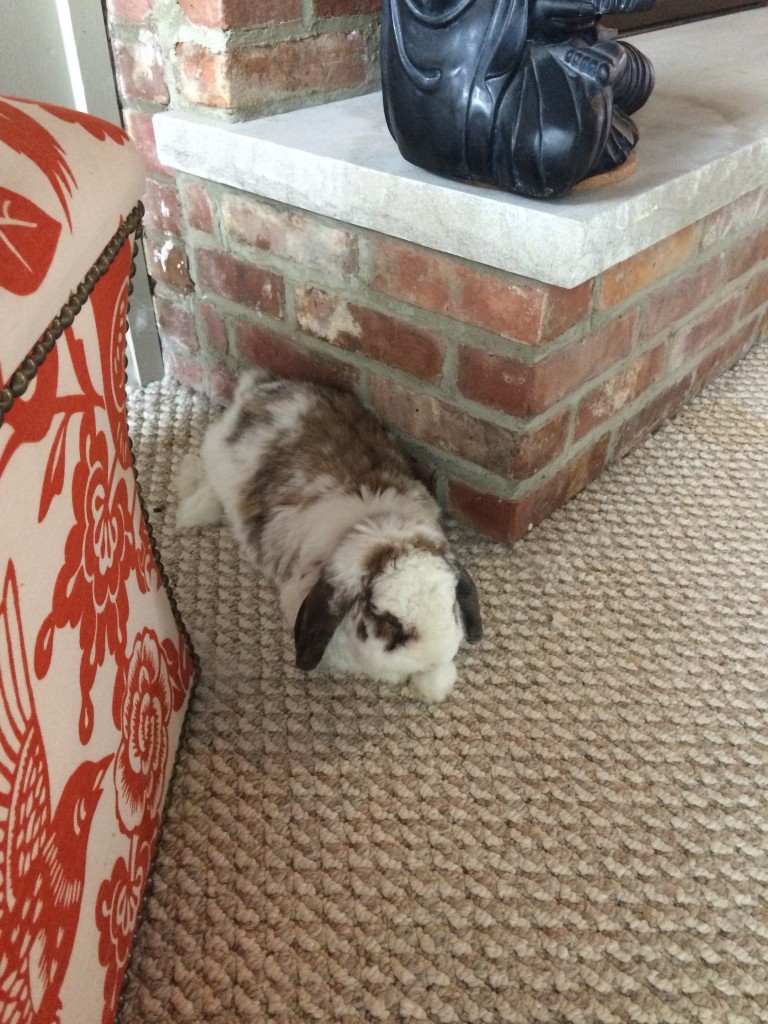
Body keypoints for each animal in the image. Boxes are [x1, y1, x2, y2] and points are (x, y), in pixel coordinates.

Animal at [177, 370, 483, 704]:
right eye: (386, 619)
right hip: (218, 460)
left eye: (452, 606)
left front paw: (432, 684)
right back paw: (189, 506)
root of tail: (260, 388)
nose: (431, 656)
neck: (374, 523)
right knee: (208, 481)